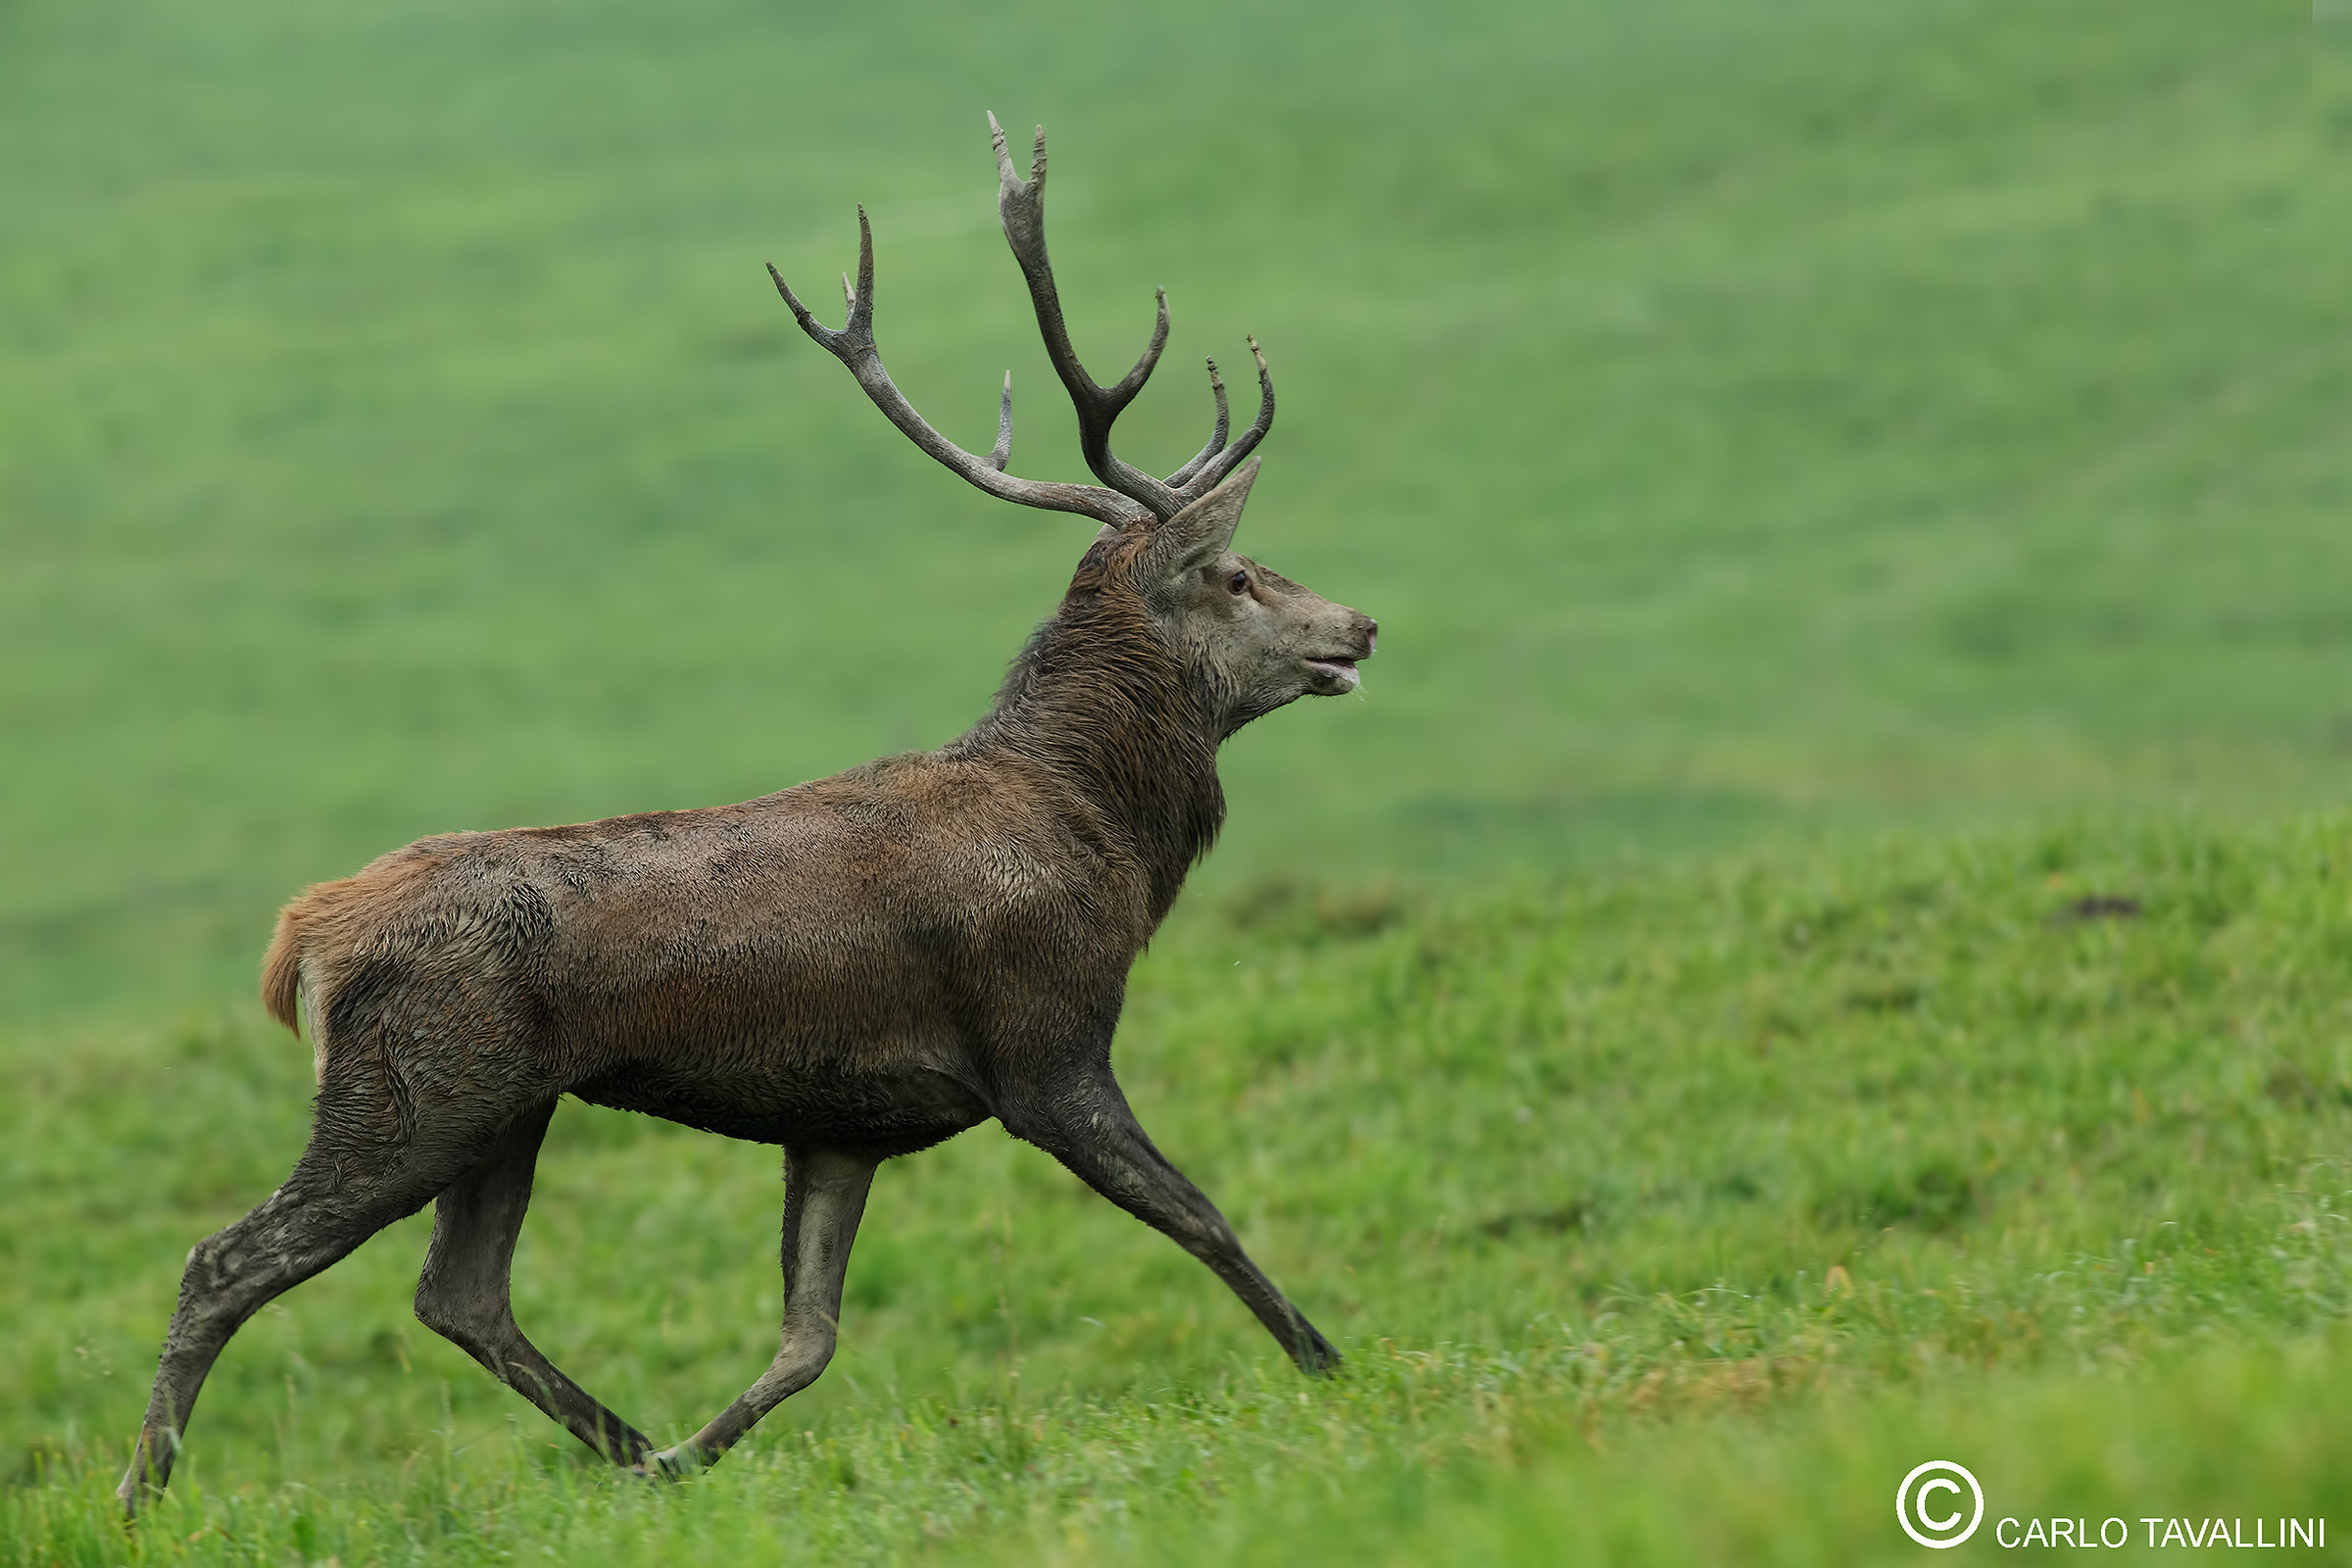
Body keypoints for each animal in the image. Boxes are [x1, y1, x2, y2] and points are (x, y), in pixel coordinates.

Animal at [117, 113, 1375, 1513]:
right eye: (1239, 573)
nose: (1362, 624)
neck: (1110, 837)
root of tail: (304, 934)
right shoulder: (1044, 1039)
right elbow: (1200, 1213)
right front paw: (1334, 1365)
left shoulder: (843, 1120)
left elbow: (806, 1335)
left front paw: (699, 1447)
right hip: (413, 1091)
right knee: (229, 1259)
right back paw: (145, 1491)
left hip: (508, 1106)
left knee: (461, 1294)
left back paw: (635, 1454)